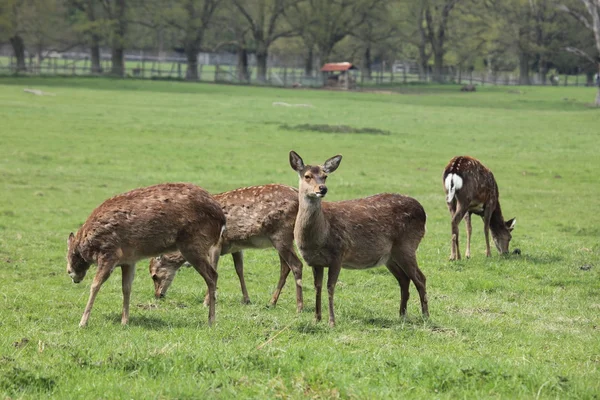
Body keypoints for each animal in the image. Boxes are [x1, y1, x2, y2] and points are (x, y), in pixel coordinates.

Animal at [65, 183, 225, 326]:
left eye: (68, 266)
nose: (72, 275)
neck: (88, 243)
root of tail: (222, 220)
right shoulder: (128, 260)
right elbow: (126, 288)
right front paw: (124, 321)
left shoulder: (109, 253)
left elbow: (95, 285)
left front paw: (83, 322)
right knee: (213, 275)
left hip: (193, 245)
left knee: (212, 275)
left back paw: (211, 320)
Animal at [148, 184, 302, 312]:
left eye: (154, 275)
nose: (158, 295)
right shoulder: (236, 246)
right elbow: (239, 270)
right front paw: (246, 300)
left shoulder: (216, 244)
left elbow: (214, 270)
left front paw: (206, 302)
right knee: (285, 267)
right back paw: (272, 302)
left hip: (281, 235)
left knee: (296, 265)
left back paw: (299, 307)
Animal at [288, 152, 428, 326]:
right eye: (307, 176)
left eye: (325, 176)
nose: (322, 189)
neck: (319, 237)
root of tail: (423, 211)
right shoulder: (316, 262)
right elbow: (317, 287)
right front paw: (317, 318)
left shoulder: (338, 253)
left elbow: (330, 287)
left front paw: (332, 322)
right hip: (390, 256)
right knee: (404, 279)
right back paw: (402, 315)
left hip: (407, 245)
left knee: (420, 278)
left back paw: (425, 316)